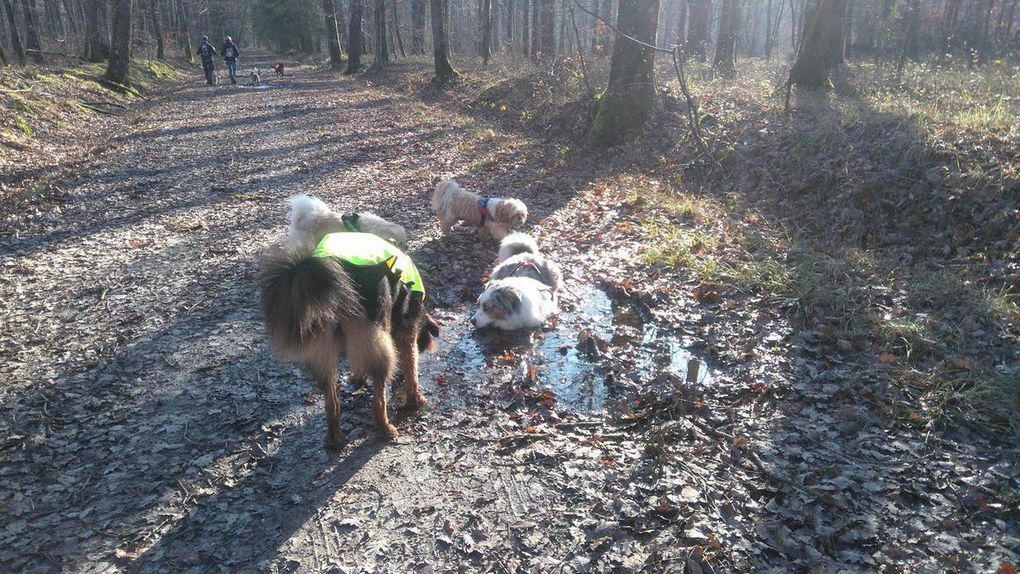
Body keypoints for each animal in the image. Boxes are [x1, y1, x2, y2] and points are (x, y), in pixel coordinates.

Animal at [259, 199, 438, 446]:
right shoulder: (405, 333)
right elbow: (412, 370)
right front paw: (415, 399)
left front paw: (357, 378)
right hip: (379, 348)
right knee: (377, 401)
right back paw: (386, 428)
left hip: (325, 354)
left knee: (331, 405)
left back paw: (335, 438)